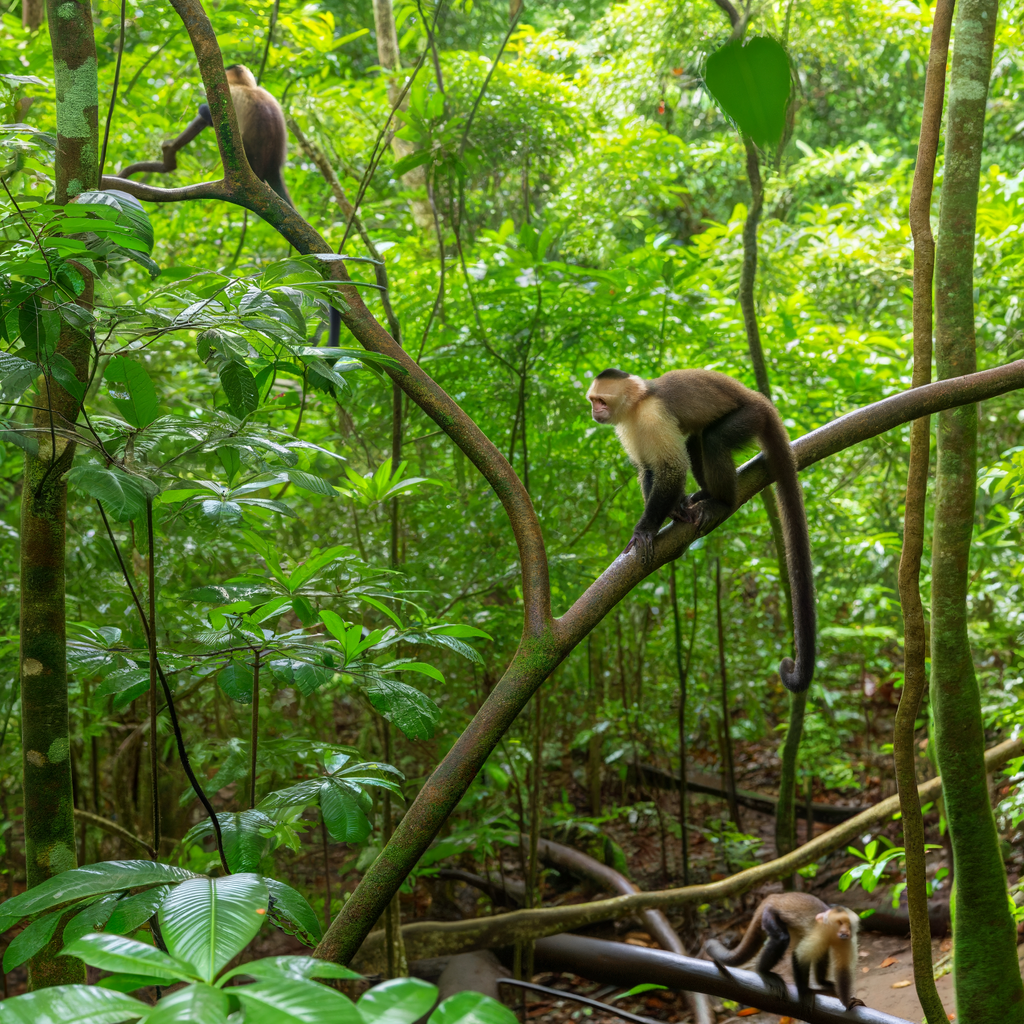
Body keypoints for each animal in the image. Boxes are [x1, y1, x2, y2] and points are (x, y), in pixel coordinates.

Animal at [585, 364, 815, 692]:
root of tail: (762, 401)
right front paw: (673, 510)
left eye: (601, 401)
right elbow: (649, 470)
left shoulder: (653, 415)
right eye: (592, 401)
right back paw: (705, 494)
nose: (594, 412)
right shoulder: (627, 427)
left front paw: (645, 529)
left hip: (752, 416)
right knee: (694, 440)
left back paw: (722, 501)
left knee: (713, 439)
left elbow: (670, 468)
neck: (637, 405)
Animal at [704, 888, 864, 1007]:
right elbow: (799, 956)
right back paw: (763, 971)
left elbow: (843, 969)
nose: (844, 932)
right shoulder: (820, 933)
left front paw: (847, 1002)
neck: (832, 934)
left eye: (848, 924)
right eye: (840, 922)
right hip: (769, 913)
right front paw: (804, 992)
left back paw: (822, 983)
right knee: (782, 939)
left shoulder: (847, 940)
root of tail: (774, 897)